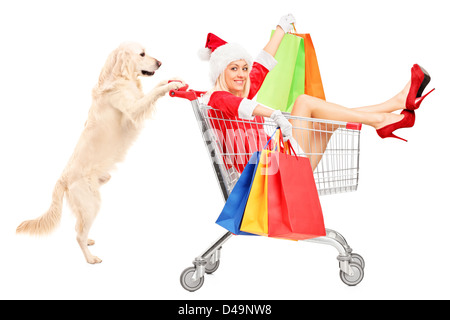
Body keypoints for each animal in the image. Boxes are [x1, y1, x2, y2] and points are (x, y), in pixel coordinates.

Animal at [16, 42, 184, 262]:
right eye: (142, 54)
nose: (160, 63)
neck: (119, 77)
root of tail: (62, 179)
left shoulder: (138, 98)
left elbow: (154, 88)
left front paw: (174, 80)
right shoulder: (133, 109)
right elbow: (153, 94)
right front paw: (171, 87)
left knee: (78, 228)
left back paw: (89, 241)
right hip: (91, 203)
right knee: (78, 234)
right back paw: (90, 258)